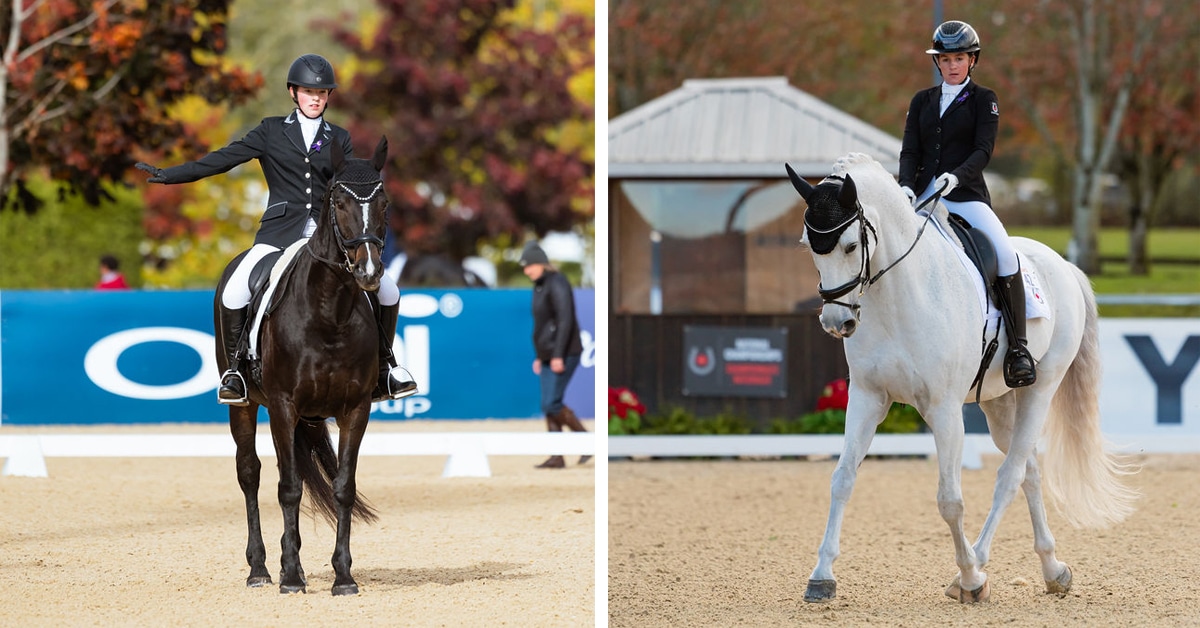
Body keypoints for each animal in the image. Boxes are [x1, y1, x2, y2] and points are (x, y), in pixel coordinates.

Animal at [213, 137, 391, 595]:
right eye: (339, 202)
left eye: (384, 202)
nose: (369, 271)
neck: (330, 311)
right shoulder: (282, 404)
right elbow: (288, 488)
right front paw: (291, 577)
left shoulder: (355, 409)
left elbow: (343, 487)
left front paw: (343, 577)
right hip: (246, 406)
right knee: (251, 474)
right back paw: (260, 570)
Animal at [784, 153, 1138, 604]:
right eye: (809, 246)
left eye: (849, 246)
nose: (836, 322)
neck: (898, 295)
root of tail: (1062, 264)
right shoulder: (866, 398)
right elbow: (842, 479)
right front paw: (822, 577)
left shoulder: (945, 409)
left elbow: (950, 499)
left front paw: (971, 577)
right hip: (998, 402)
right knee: (1028, 470)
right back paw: (1053, 569)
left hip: (1040, 388)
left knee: (1009, 476)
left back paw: (976, 567)